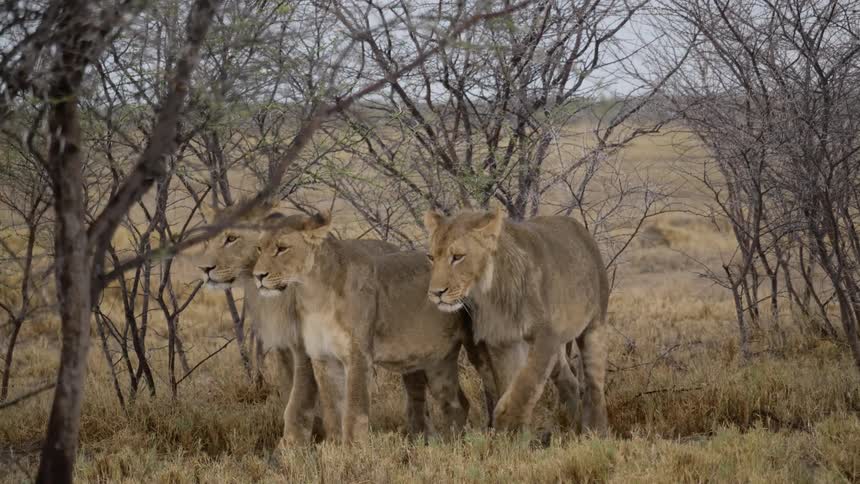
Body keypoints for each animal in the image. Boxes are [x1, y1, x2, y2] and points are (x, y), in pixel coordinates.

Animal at [193, 202, 397, 445]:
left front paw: (291, 444)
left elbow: (297, 401)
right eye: (210, 239)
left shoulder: (305, 348)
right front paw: (314, 432)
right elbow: (289, 391)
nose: (203, 269)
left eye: (232, 238)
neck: (272, 297)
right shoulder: (283, 347)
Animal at [253, 212, 494, 443]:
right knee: (456, 403)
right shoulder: (323, 357)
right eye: (259, 247)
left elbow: (354, 412)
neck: (312, 293)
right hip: (438, 361)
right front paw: (334, 449)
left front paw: (354, 450)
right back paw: (451, 443)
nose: (258, 276)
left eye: (282, 248)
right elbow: (333, 412)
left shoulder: (358, 355)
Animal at [423, 207, 609, 435]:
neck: (489, 293)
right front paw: (515, 435)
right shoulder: (504, 342)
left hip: (593, 326)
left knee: (595, 384)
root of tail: (580, 229)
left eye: (457, 257)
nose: (435, 293)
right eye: (431, 257)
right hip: (558, 348)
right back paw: (570, 424)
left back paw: (596, 430)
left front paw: (506, 423)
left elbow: (525, 384)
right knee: (569, 381)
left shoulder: (545, 336)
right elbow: (509, 384)